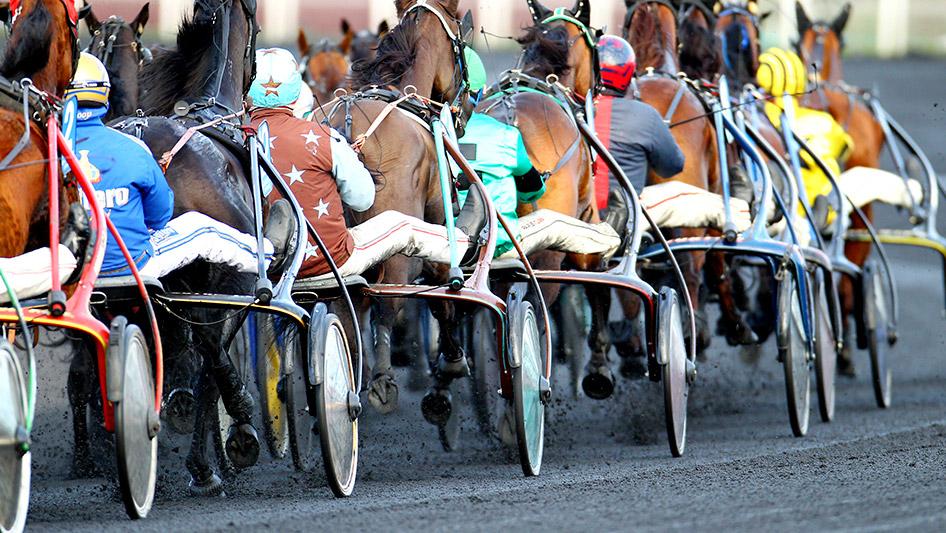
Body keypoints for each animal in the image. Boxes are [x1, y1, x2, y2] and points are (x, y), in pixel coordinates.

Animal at [320, 0, 472, 414]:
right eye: (461, 46)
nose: (466, 104)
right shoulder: (434, 222)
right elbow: (441, 288)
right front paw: (452, 360)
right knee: (388, 301)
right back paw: (382, 380)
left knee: (346, 306)